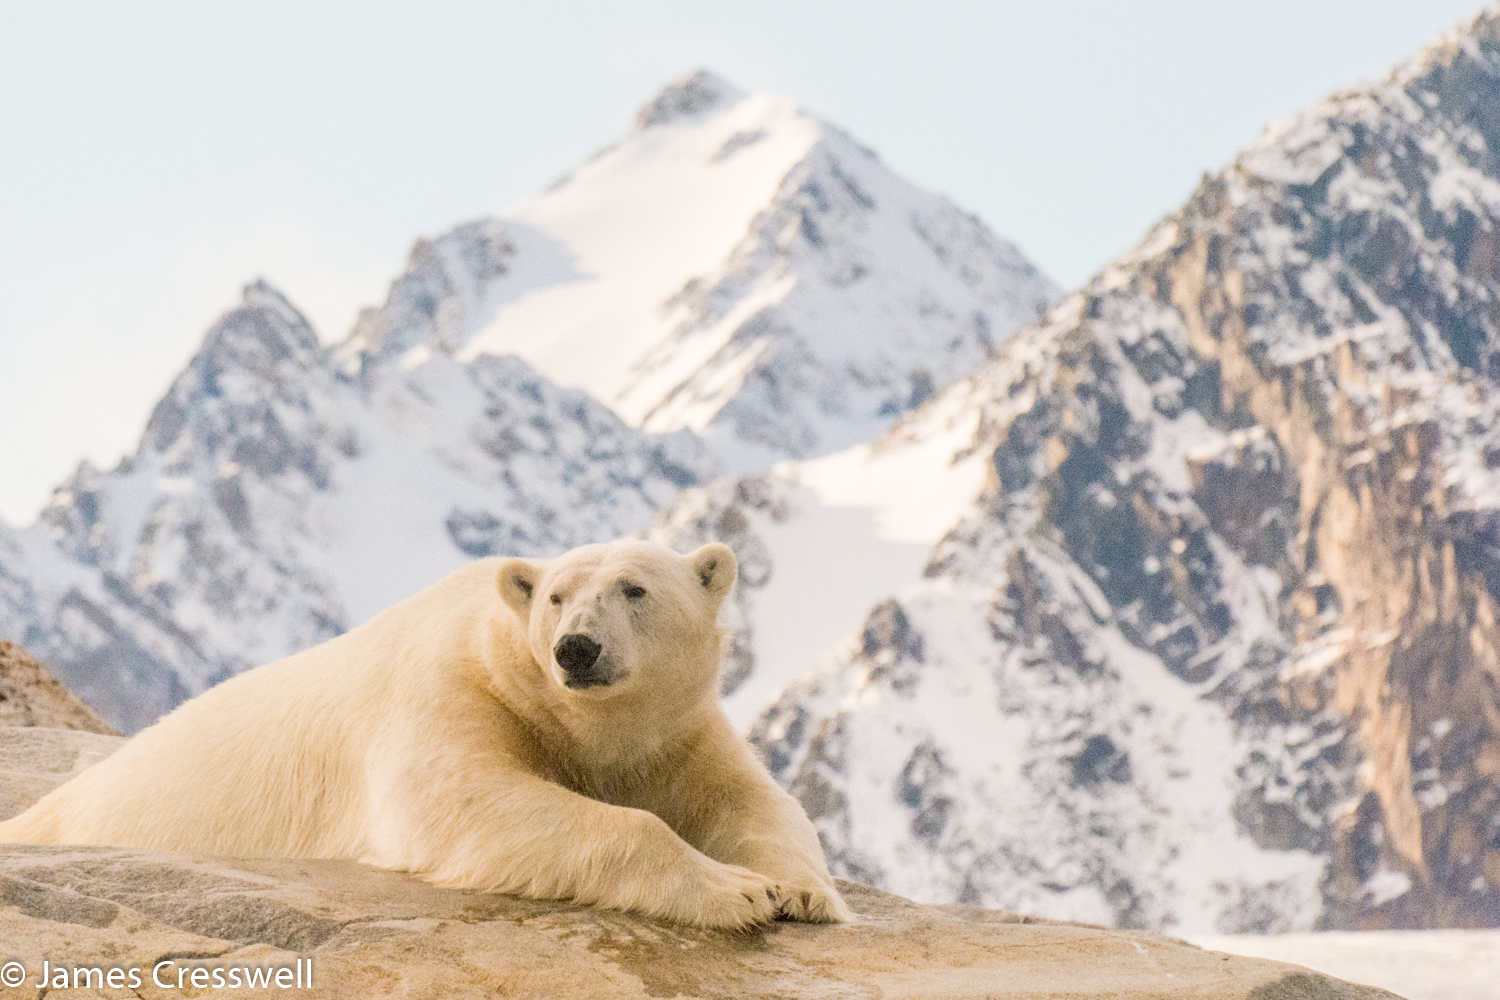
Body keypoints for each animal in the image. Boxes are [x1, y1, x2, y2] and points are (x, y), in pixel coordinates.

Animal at [0, 542, 846, 929]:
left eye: (635, 589)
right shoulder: (456, 690)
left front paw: (801, 890)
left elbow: (753, 802)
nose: (576, 649)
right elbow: (466, 797)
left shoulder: (679, 733)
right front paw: (738, 890)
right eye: (557, 596)